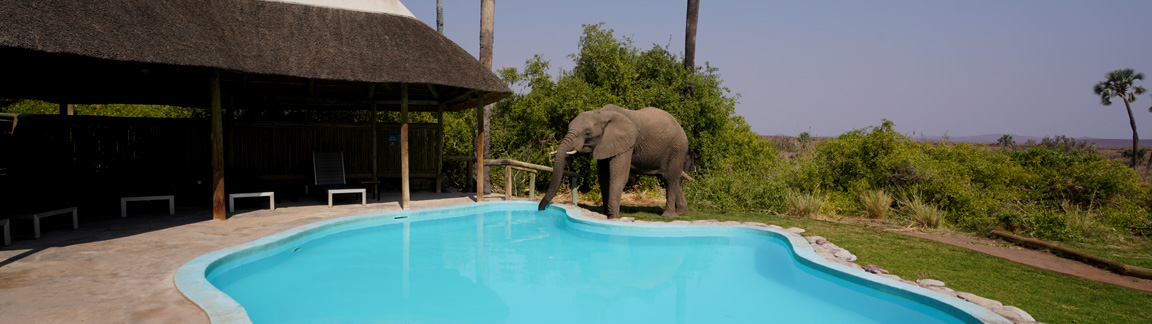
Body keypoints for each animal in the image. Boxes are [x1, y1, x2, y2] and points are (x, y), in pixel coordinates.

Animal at [536, 104, 686, 217]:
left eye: (587, 133)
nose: (541, 208)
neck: (601, 113)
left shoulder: (626, 143)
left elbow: (618, 176)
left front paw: (613, 217)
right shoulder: (605, 144)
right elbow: (604, 177)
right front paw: (605, 215)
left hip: (677, 149)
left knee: (669, 179)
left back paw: (668, 216)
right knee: (673, 180)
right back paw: (682, 213)